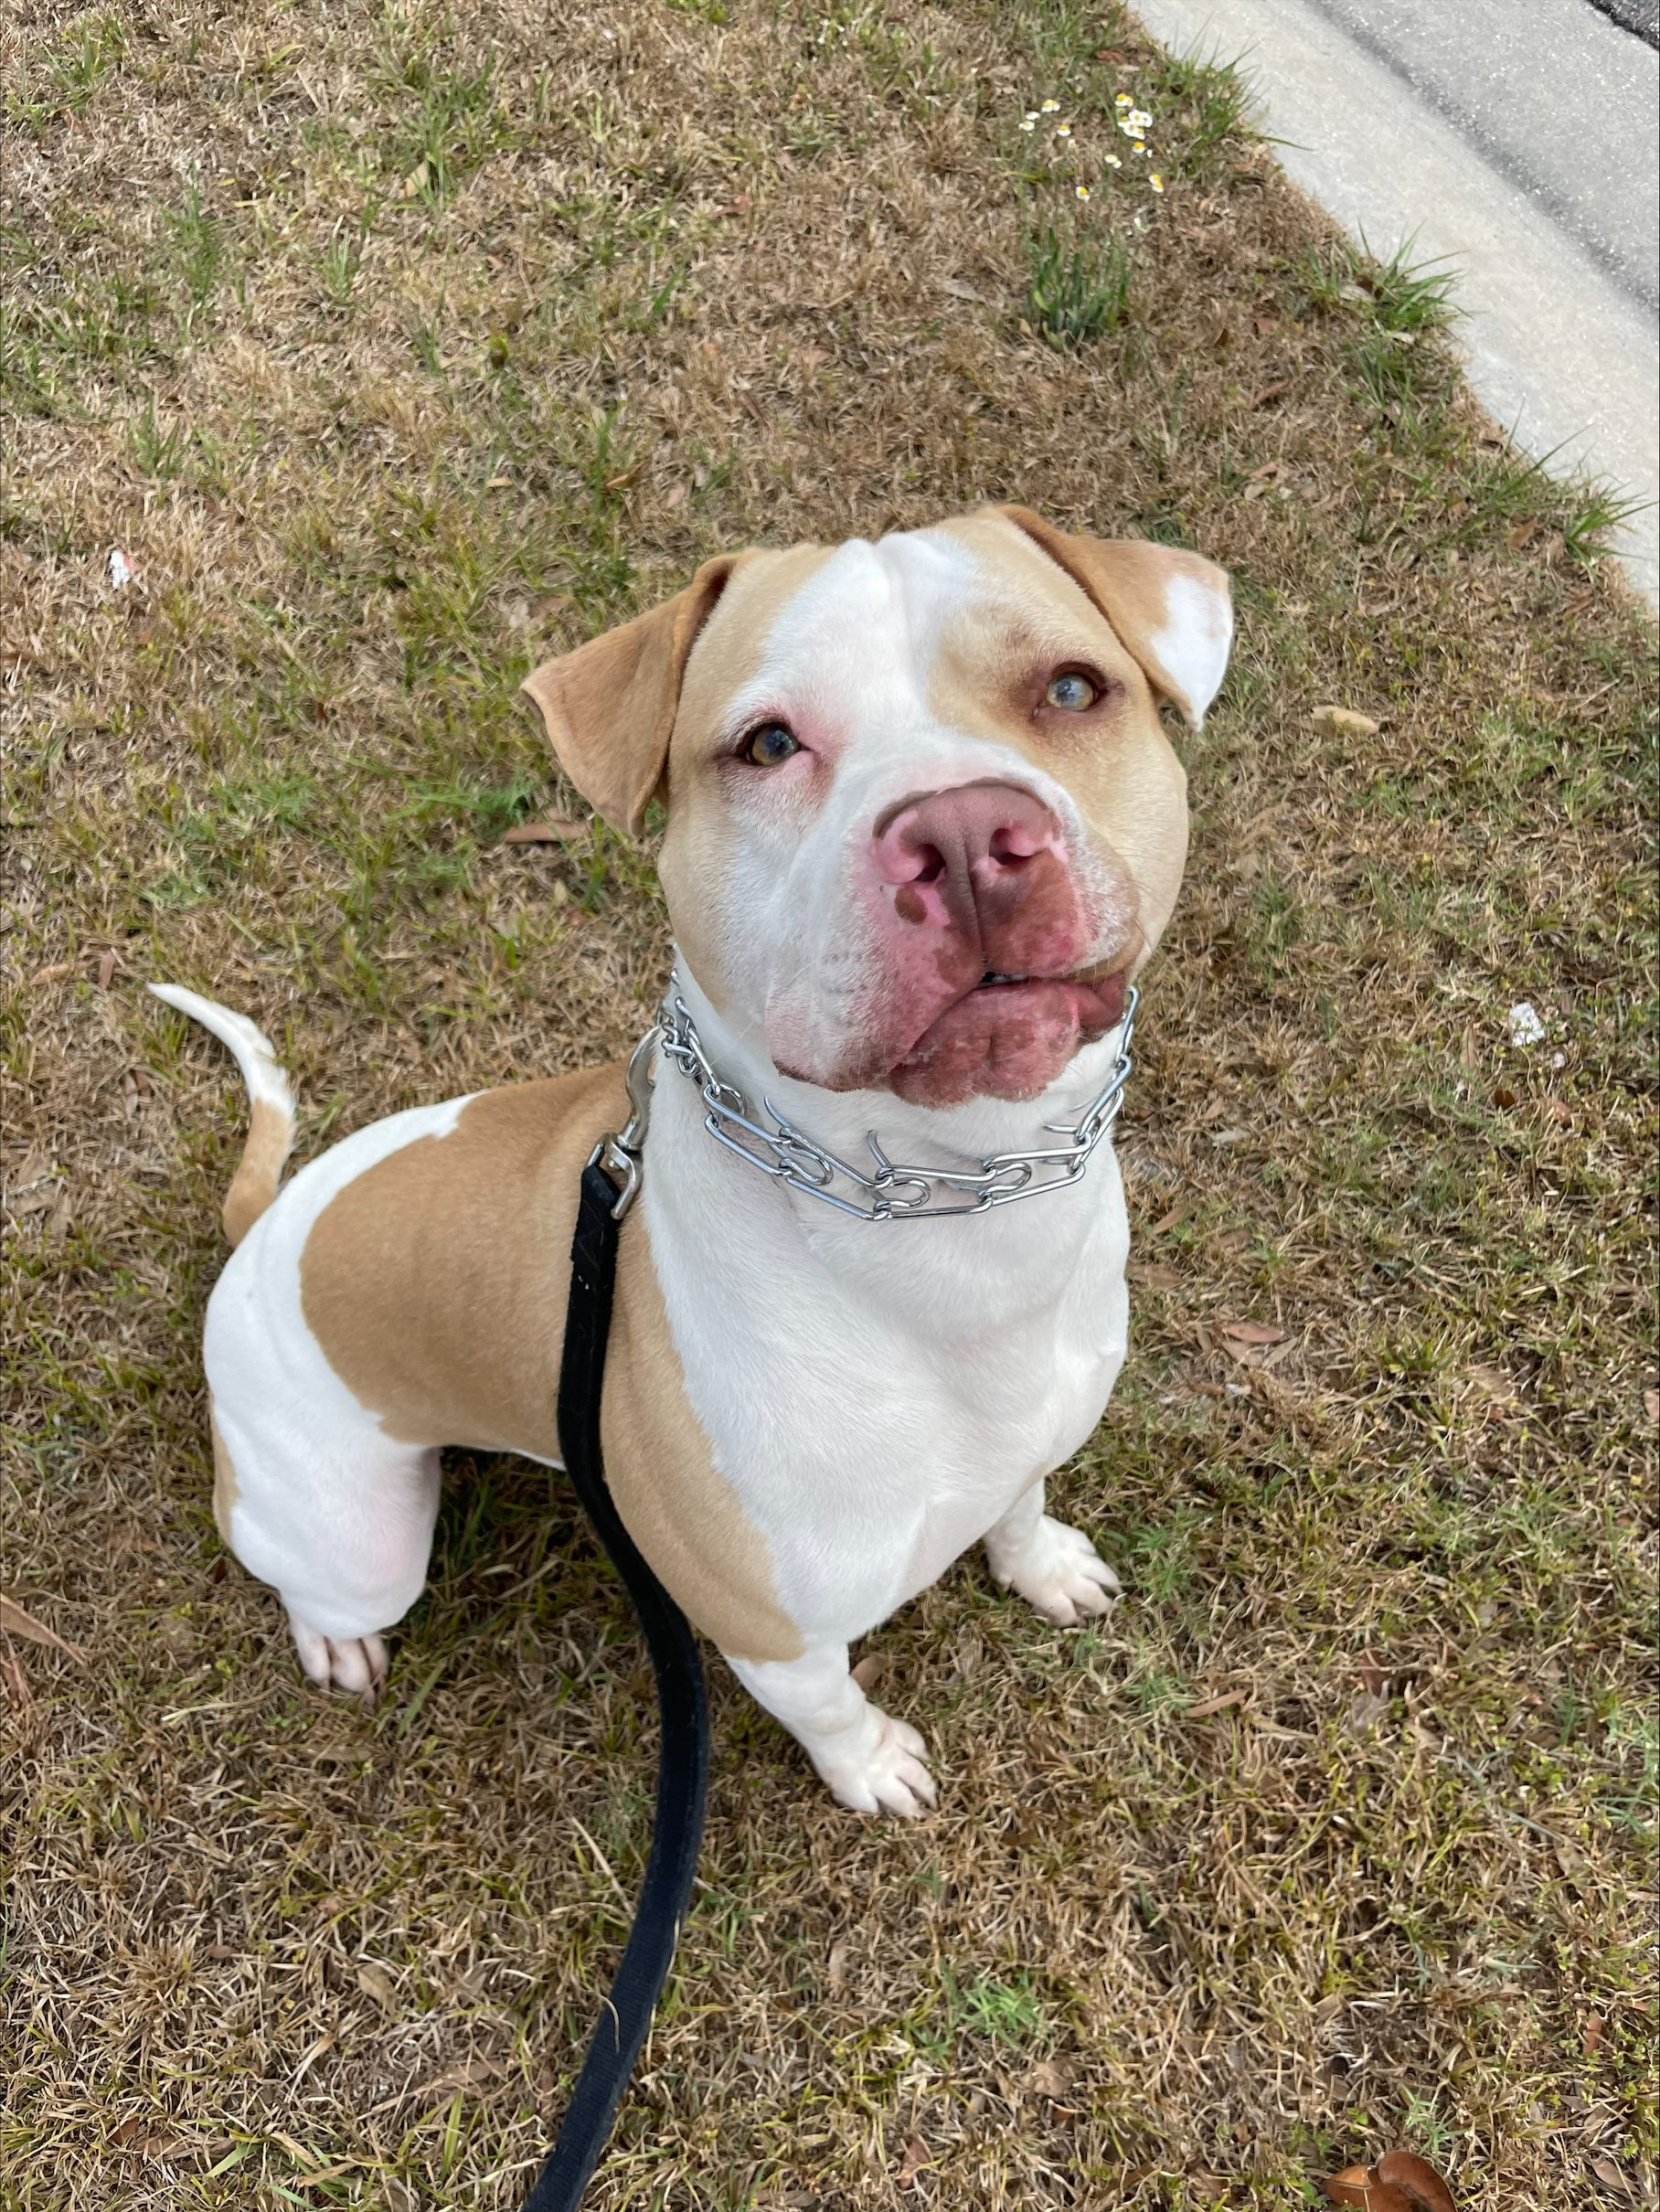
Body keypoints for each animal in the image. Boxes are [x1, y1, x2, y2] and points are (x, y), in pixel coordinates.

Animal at [155, 506, 1239, 1813]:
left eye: (1072, 687)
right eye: (766, 744)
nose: (965, 832)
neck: (952, 1209)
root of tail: (263, 1230)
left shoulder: (1024, 1443)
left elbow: (1019, 1508)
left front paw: (1044, 1565)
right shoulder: (766, 1627)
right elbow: (829, 1706)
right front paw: (872, 1766)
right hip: (354, 1535)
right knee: (284, 1553)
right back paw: (330, 1631)